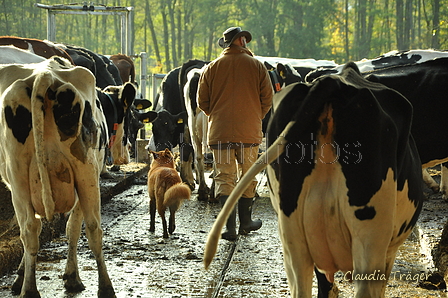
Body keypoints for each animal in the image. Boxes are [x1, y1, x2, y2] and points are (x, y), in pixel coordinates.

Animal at [0, 57, 117, 296]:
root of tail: (44, 74)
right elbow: (72, 228)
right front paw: (71, 276)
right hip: (86, 172)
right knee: (92, 228)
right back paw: (105, 287)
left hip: (19, 177)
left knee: (29, 230)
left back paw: (29, 289)